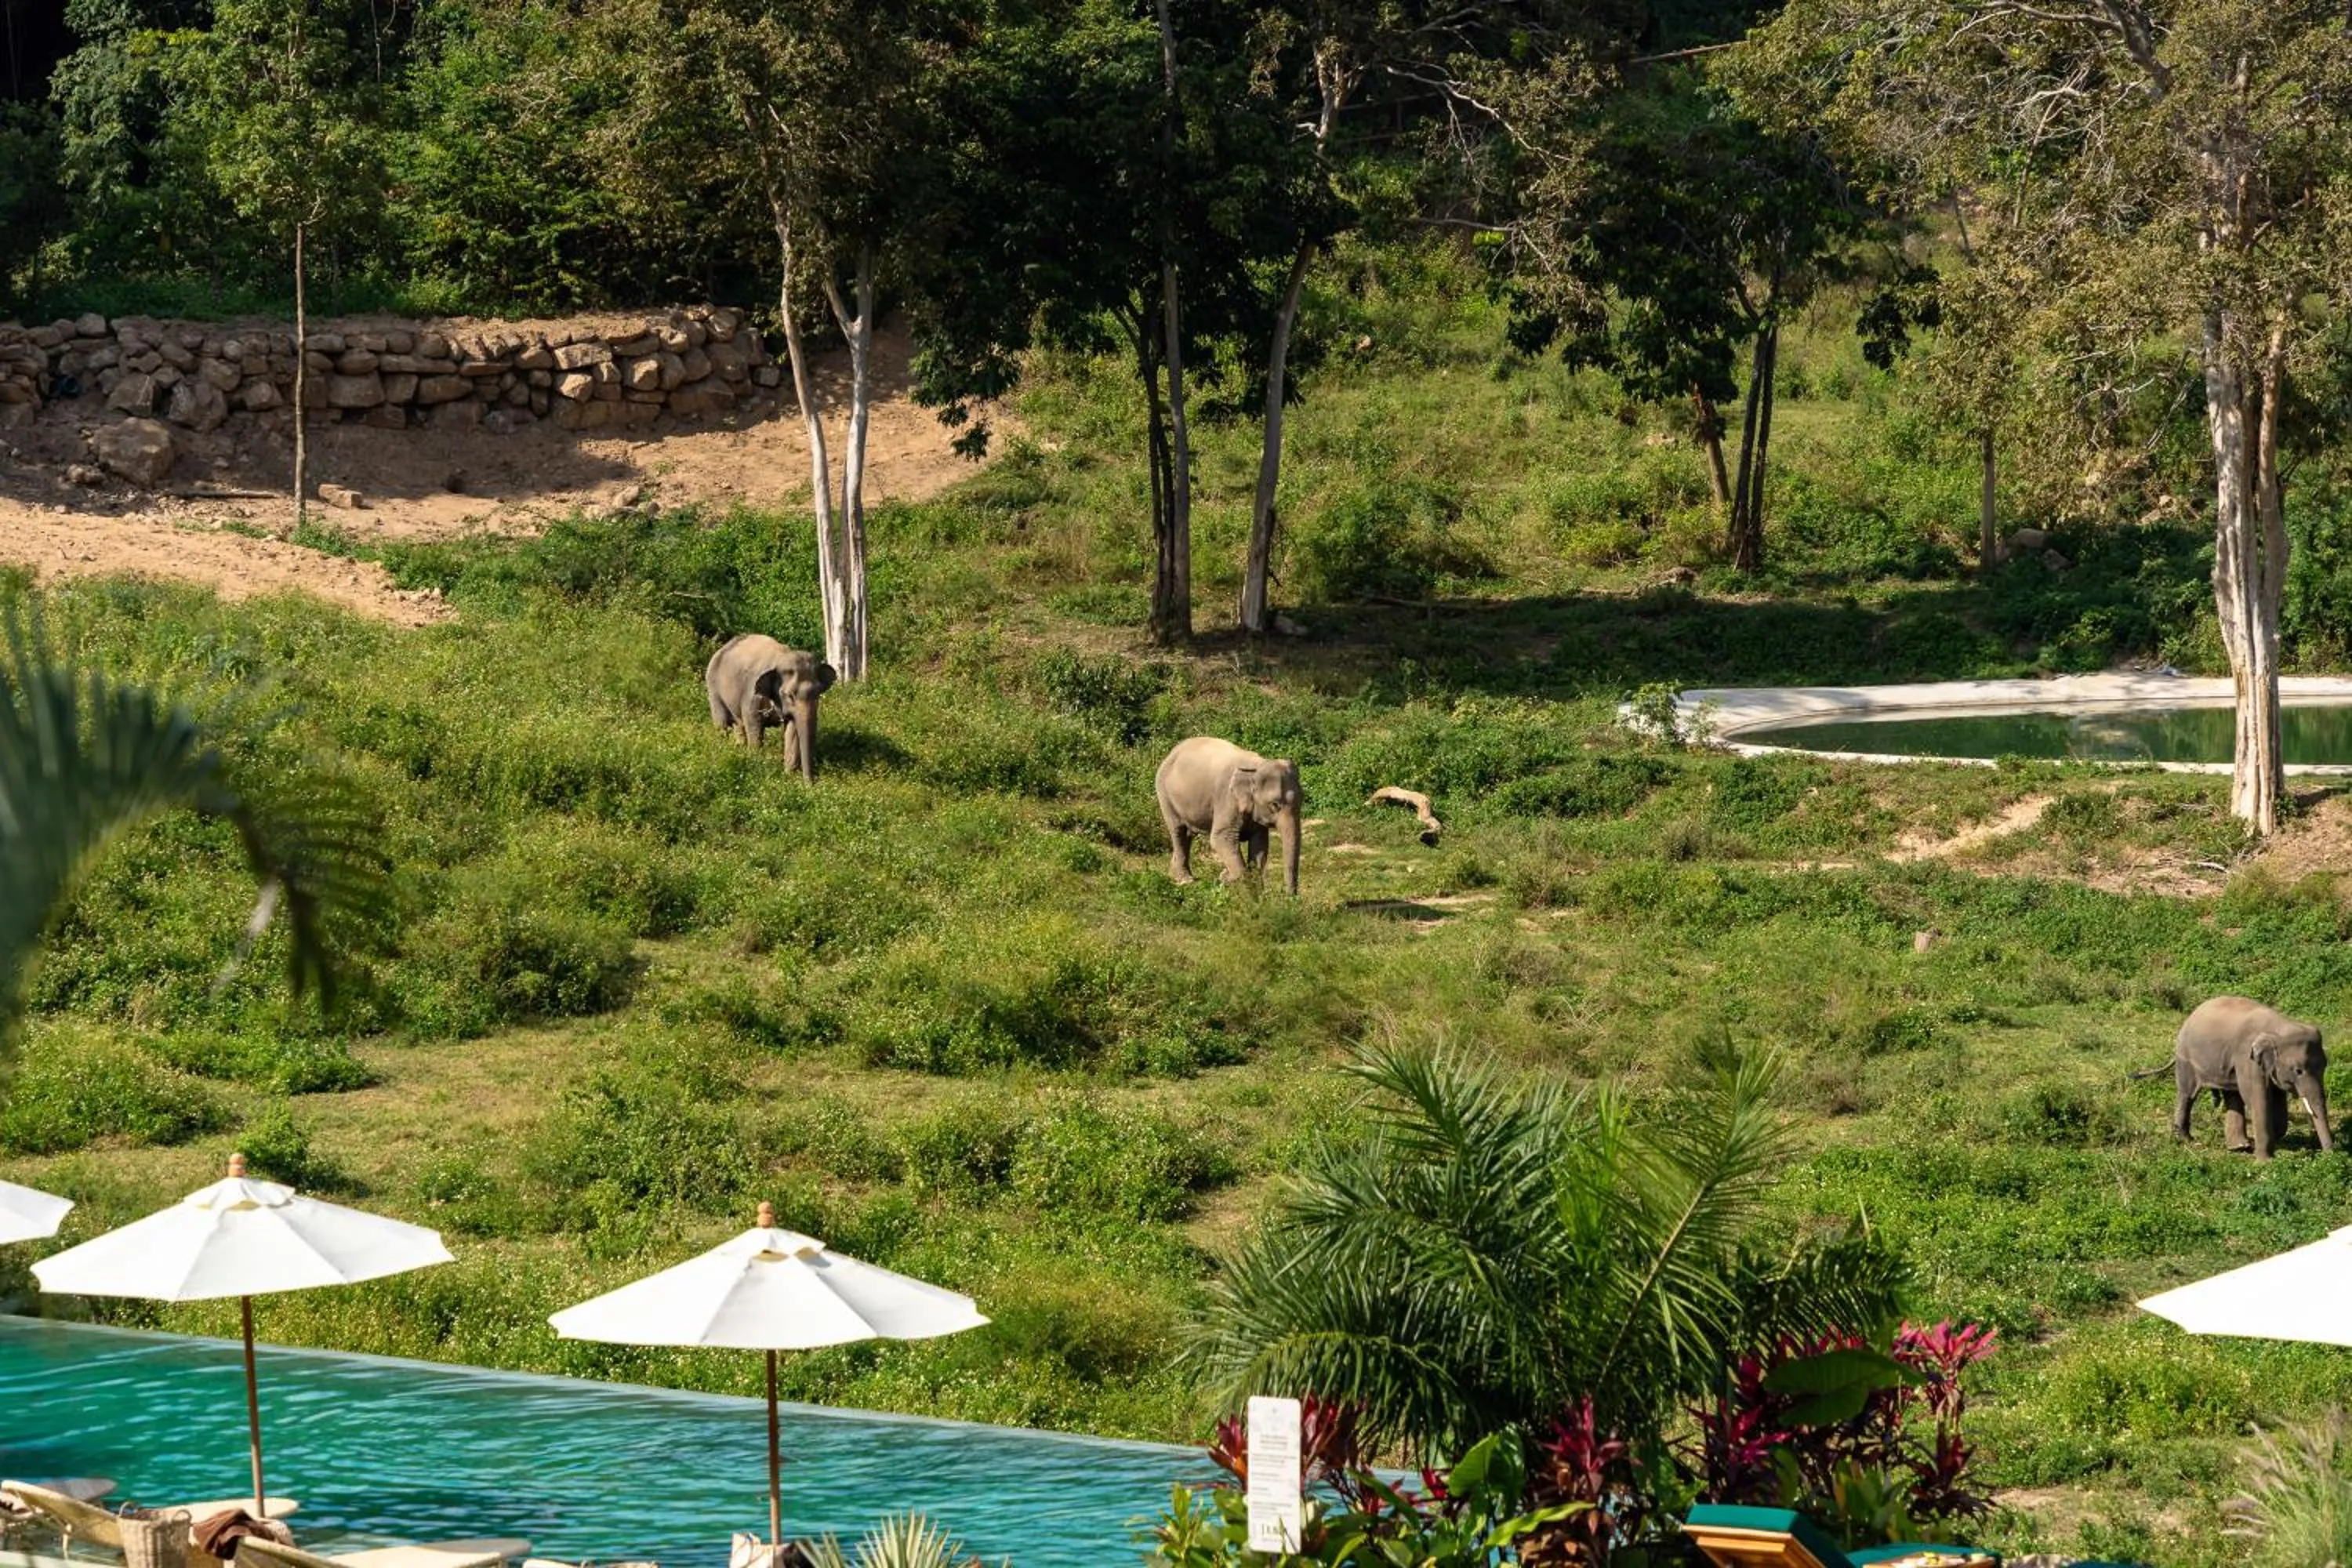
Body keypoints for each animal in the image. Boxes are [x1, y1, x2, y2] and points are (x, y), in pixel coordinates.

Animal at [704, 633, 835, 782]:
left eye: (818, 693)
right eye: (790, 695)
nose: (811, 784)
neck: (782, 657)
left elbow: (792, 730)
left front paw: (789, 775)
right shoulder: (751, 696)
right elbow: (754, 726)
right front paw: (756, 765)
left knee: (738, 724)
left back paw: (738, 750)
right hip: (713, 688)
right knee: (722, 724)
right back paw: (722, 751)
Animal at [1154, 736, 1302, 896]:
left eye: (1303, 801)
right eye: (1274, 805)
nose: (1290, 897)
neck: (1257, 766)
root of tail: (1172, 751)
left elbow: (1260, 844)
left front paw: (1255, 890)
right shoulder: (1227, 799)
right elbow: (1221, 838)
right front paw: (1228, 879)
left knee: (1187, 835)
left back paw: (1176, 875)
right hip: (1164, 794)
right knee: (1178, 831)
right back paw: (1185, 880)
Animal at [2158, 995, 2335, 1159]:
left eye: (2325, 1066)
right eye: (2298, 1071)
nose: (2328, 1156)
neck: (2279, 1027)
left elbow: (2277, 1102)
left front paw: (2268, 1142)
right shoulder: (2247, 1059)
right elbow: (2257, 1099)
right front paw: (2265, 1161)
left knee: (2233, 1096)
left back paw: (2239, 1147)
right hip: (2185, 1056)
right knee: (2188, 1094)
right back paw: (2185, 1139)